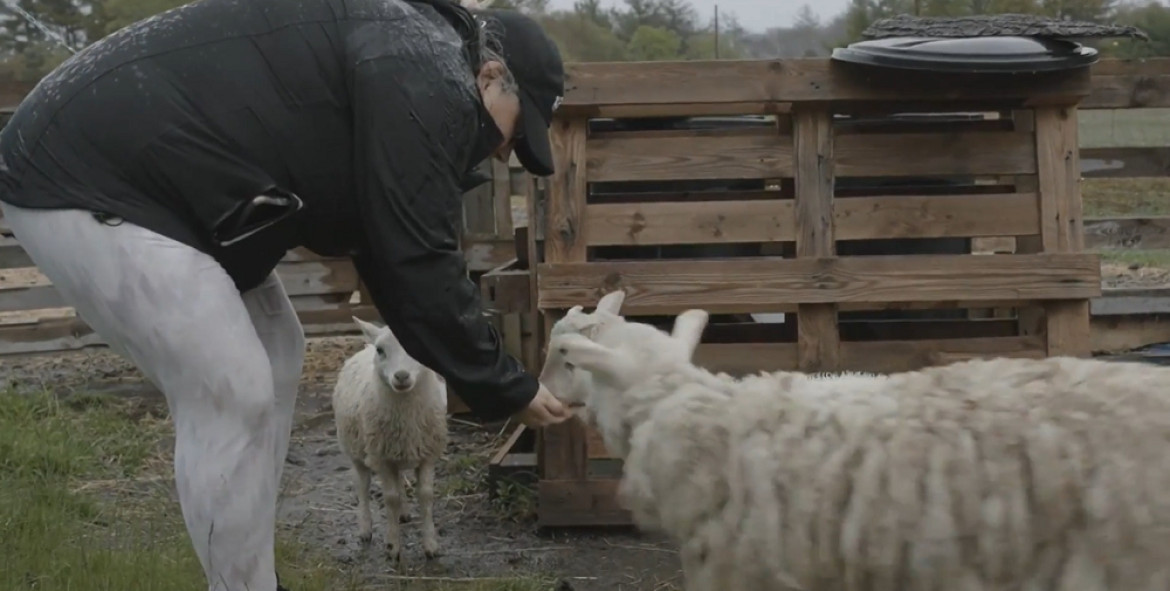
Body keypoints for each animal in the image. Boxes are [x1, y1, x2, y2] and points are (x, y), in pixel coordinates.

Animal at [339, 318, 451, 561]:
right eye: (381, 350)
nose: (401, 376)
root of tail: (366, 345)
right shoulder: (382, 458)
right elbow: (390, 498)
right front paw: (393, 546)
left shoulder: (427, 454)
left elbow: (426, 495)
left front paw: (431, 545)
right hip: (356, 450)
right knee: (362, 486)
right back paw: (365, 528)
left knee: (399, 480)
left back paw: (404, 513)